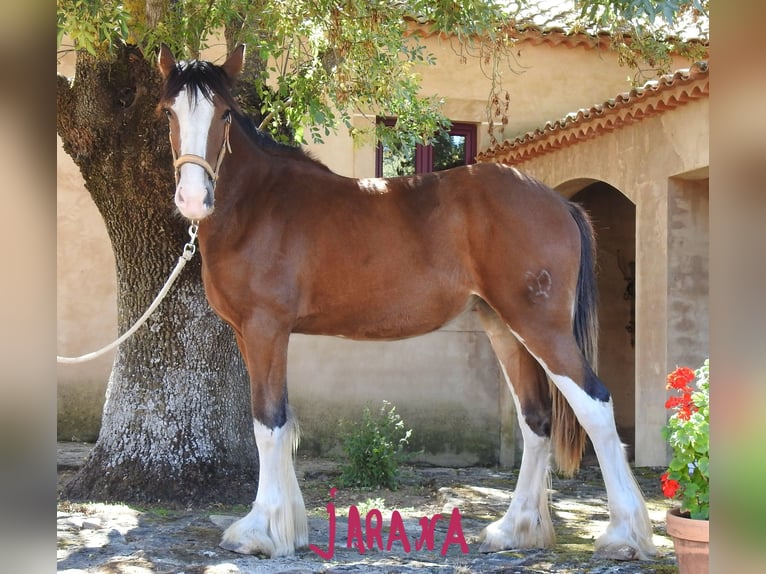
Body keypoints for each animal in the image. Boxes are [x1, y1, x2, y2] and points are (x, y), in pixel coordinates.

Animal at [158, 44, 660, 564]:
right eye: (167, 112)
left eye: (224, 113)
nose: (193, 198)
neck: (259, 205)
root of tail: (560, 202)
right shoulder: (253, 333)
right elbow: (284, 422)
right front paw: (287, 528)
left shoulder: (265, 329)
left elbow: (268, 423)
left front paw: (259, 532)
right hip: (504, 327)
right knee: (535, 420)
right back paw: (513, 530)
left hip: (541, 327)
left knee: (595, 406)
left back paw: (624, 536)